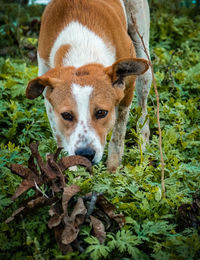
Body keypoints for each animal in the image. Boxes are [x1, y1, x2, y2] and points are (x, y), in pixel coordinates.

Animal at [26, 0, 152, 172]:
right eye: (66, 115)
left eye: (101, 113)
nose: (85, 154)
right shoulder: (48, 92)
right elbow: (60, 137)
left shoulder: (127, 89)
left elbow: (118, 134)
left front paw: (113, 167)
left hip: (142, 48)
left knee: (143, 103)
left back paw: (143, 139)